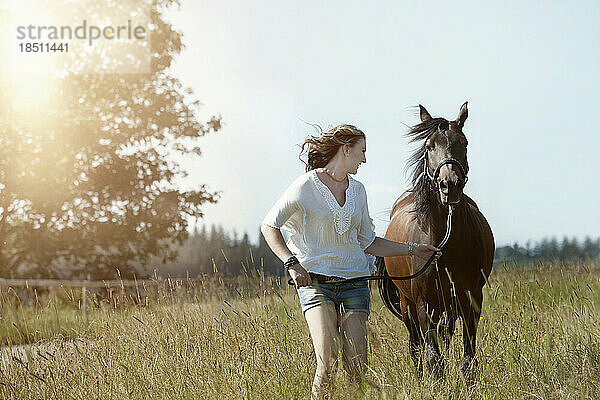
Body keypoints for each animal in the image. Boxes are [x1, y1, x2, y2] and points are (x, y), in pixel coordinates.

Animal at [378, 102, 494, 382]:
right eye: (429, 145)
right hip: (408, 305)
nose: (449, 185)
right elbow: (433, 356)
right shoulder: (424, 305)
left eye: (463, 142)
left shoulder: (471, 299)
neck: (445, 243)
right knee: (415, 344)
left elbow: (468, 355)